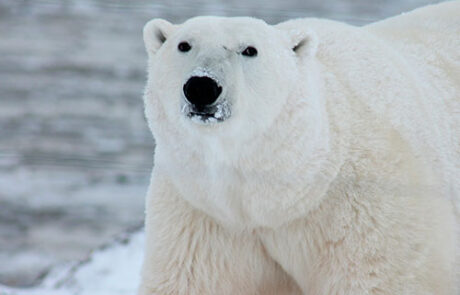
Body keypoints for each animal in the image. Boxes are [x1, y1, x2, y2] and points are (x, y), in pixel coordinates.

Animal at [138, 1, 458, 294]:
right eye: (184, 45)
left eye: (250, 50)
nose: (202, 87)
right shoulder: (203, 213)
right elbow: (193, 280)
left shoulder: (369, 207)